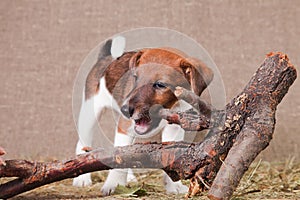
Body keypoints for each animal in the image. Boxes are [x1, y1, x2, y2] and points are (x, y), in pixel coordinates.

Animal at [72, 36, 213, 195]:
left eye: (160, 84)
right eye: (135, 77)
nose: (125, 110)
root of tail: (106, 57)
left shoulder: (174, 129)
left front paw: (173, 186)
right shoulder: (124, 127)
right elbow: (119, 157)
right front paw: (114, 184)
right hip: (90, 111)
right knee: (82, 144)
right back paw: (82, 179)